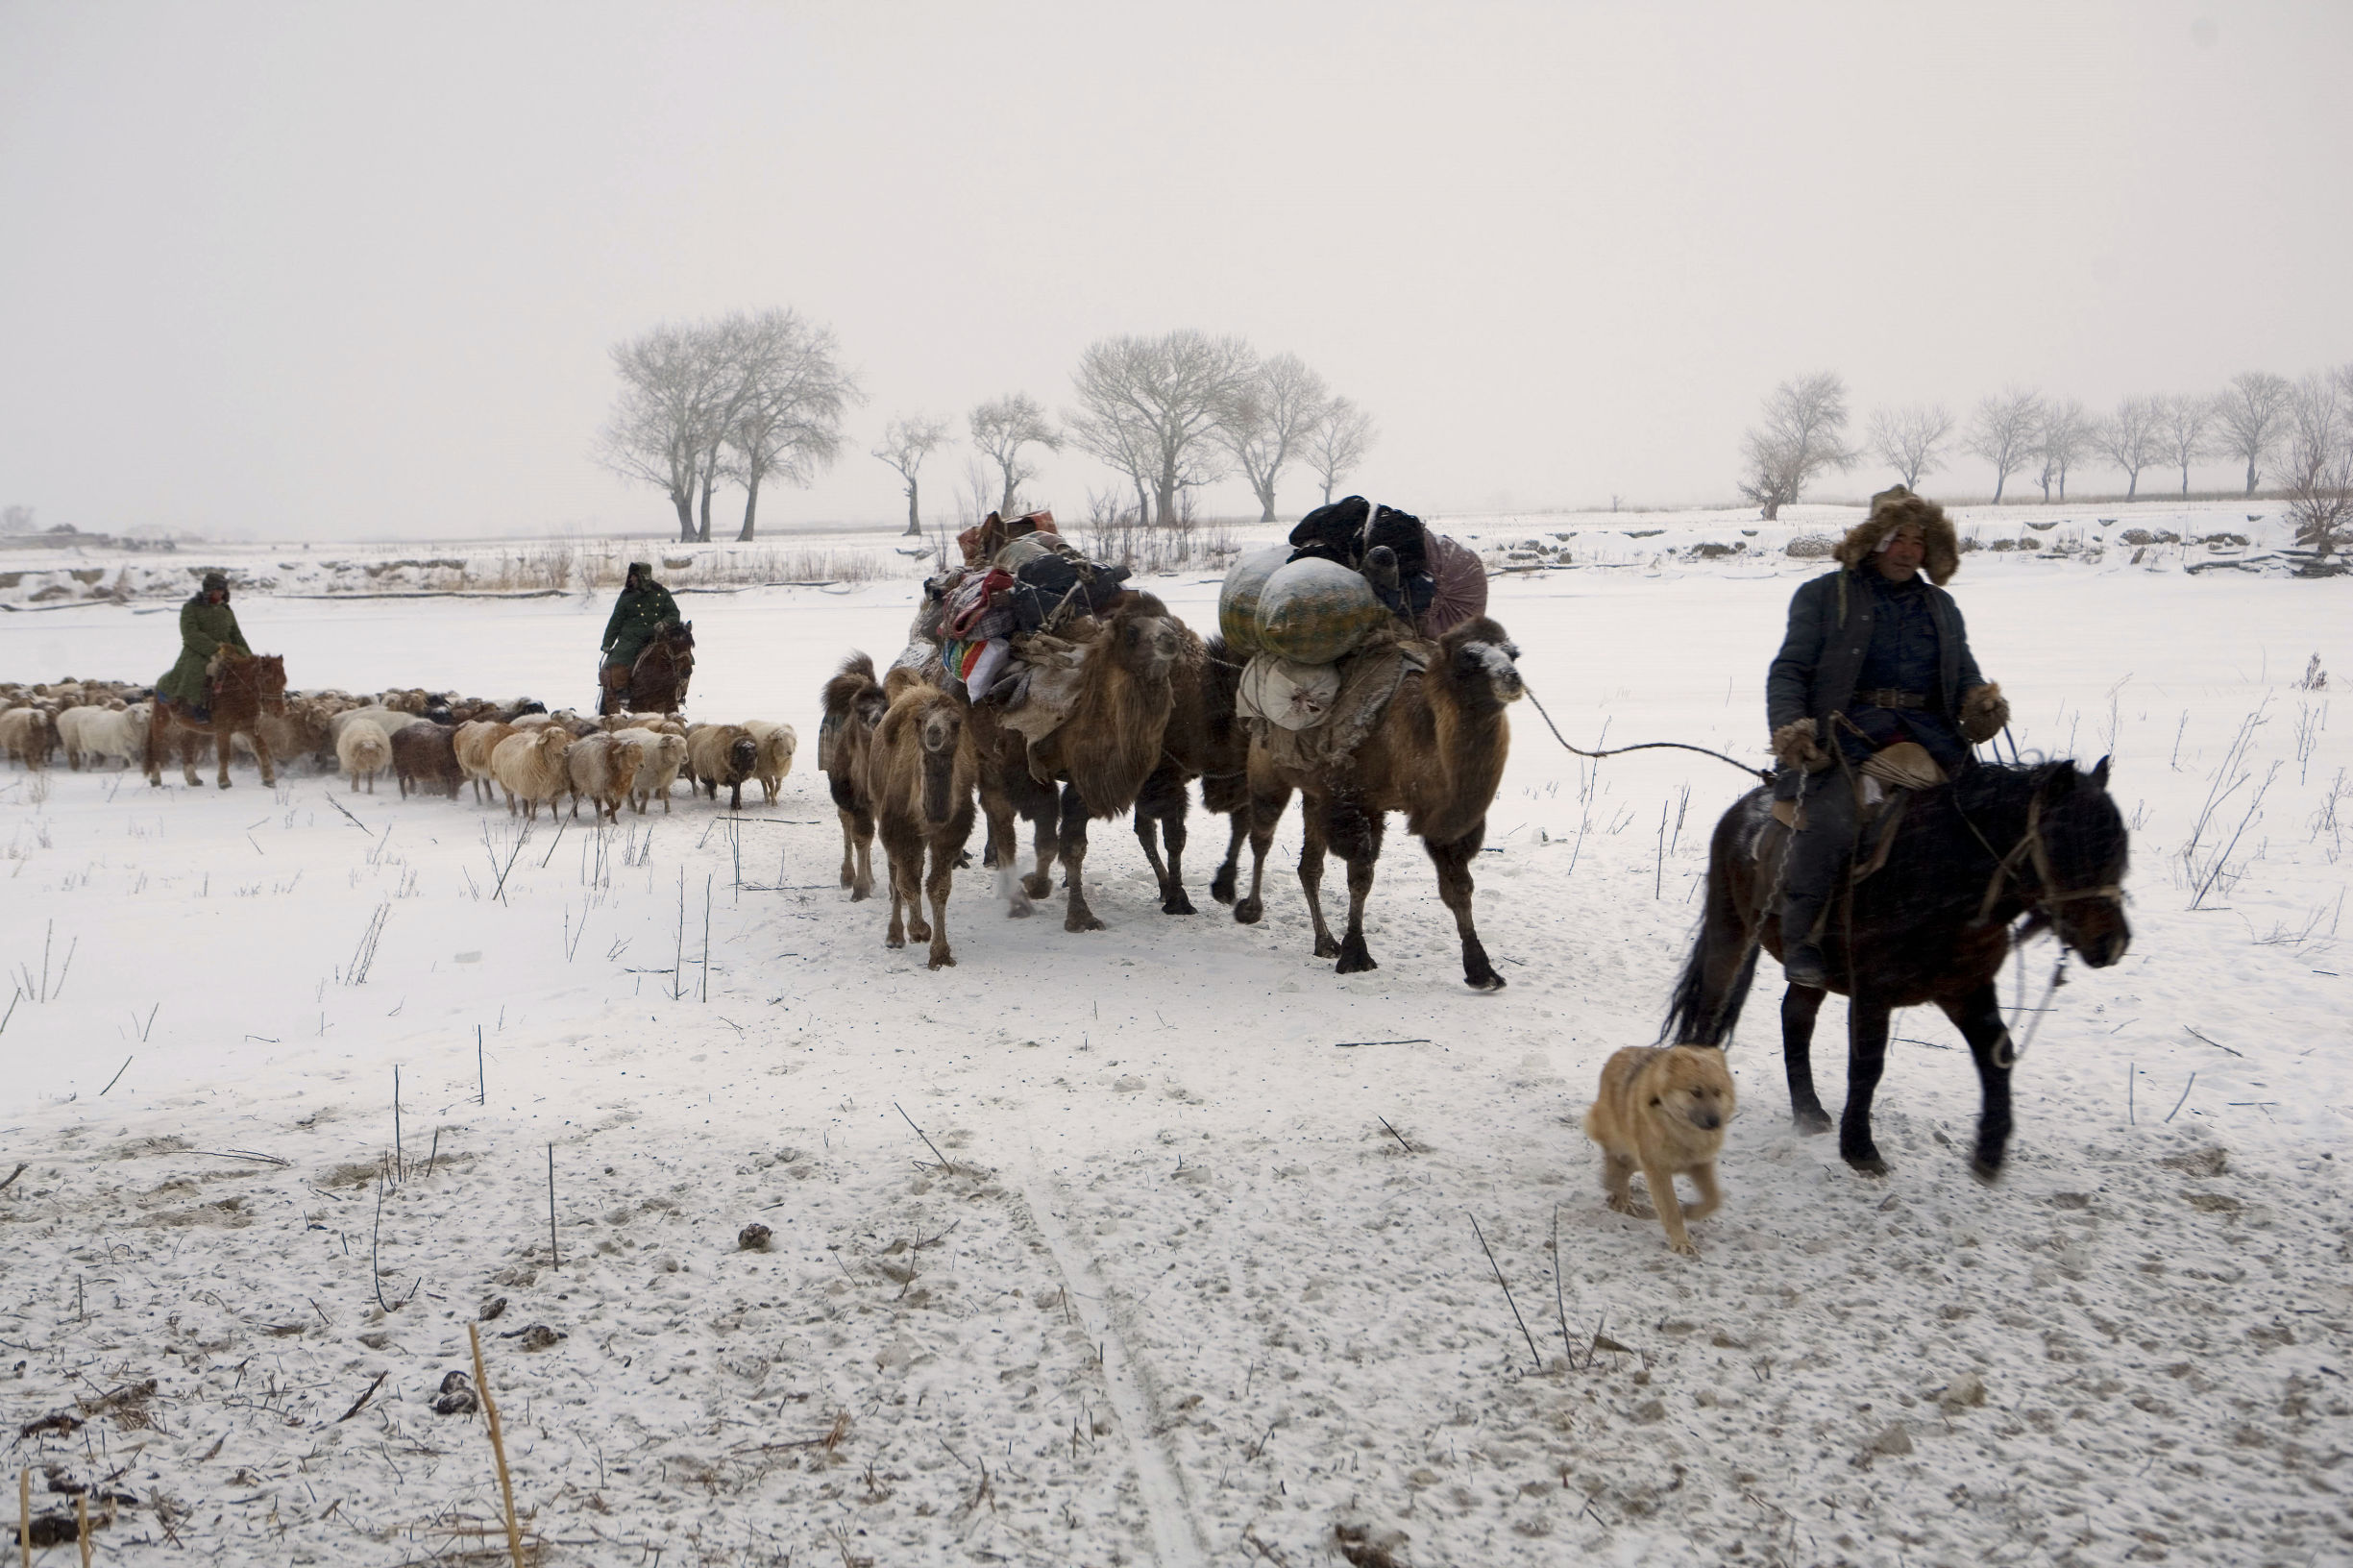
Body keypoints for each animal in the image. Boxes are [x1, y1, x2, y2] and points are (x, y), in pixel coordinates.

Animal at [146, 649, 289, 786]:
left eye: (284, 681)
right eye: (267, 680)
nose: (278, 711)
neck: (237, 692)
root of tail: (160, 682)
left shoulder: (248, 728)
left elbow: (261, 748)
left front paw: (269, 779)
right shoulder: (223, 730)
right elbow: (224, 754)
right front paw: (224, 781)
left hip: (191, 728)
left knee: (187, 746)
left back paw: (193, 779)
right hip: (161, 722)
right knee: (156, 746)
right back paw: (156, 779)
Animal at [828, 645, 898, 890]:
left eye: (887, 707)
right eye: (860, 712)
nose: (876, 719)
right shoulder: (851, 795)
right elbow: (861, 834)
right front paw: (859, 887)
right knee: (848, 823)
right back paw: (848, 876)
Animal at [870, 664, 978, 960]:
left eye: (955, 722)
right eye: (920, 720)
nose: (934, 733)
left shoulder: (950, 835)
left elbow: (938, 888)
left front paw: (940, 953)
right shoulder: (899, 829)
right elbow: (906, 882)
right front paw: (919, 931)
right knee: (896, 873)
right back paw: (895, 935)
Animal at [1233, 612, 1524, 989]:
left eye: (1513, 653)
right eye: (1468, 656)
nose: (1511, 678)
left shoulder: (1442, 816)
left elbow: (1459, 887)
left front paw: (1481, 970)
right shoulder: (1354, 804)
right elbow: (1360, 878)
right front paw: (1355, 955)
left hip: (1315, 795)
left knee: (1308, 866)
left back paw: (1324, 941)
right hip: (1267, 767)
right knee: (1262, 837)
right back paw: (1250, 909)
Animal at [1656, 753, 2136, 1172]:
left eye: (2119, 847)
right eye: (2069, 842)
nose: (2112, 942)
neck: (1937, 874)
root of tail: (1742, 809)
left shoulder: (1967, 989)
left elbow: (1996, 1053)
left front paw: (1990, 1149)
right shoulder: (1873, 992)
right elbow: (1867, 1065)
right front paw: (1860, 1148)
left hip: (1809, 971)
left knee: (1794, 1016)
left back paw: (1809, 1112)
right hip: (1730, 934)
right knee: (1712, 1010)